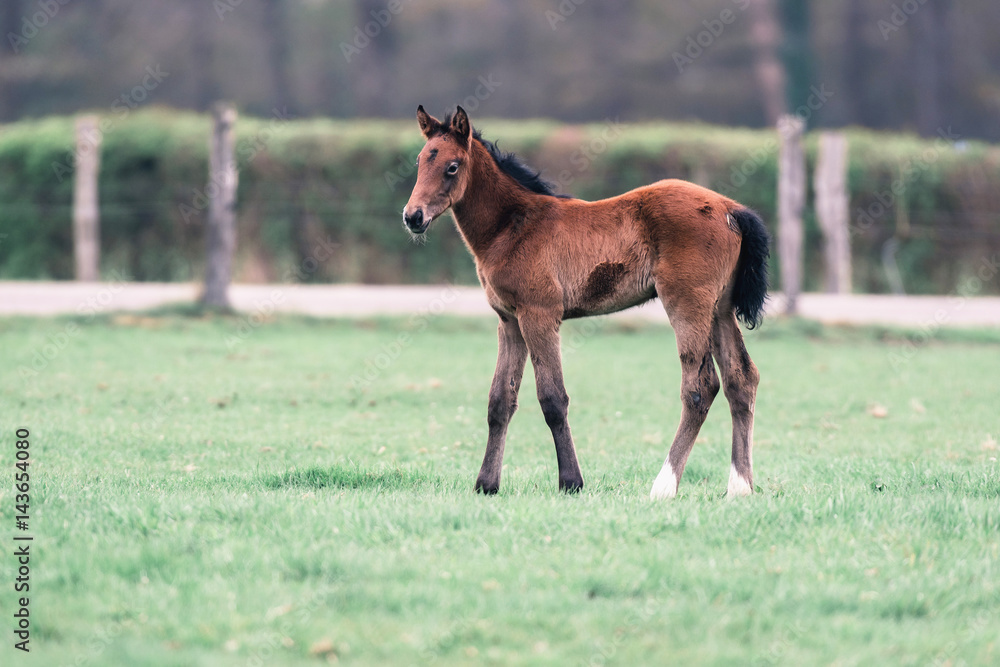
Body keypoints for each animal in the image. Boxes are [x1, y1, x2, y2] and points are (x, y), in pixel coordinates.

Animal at [402, 105, 769, 498]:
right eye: (420, 160)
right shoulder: (509, 322)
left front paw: (571, 481)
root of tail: (730, 208)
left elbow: (552, 398)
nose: (413, 217)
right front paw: (486, 484)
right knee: (741, 379)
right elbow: (500, 400)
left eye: (452, 166)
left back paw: (664, 485)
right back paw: (740, 486)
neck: (512, 226)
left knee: (701, 387)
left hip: (687, 304)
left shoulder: (539, 315)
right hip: (719, 309)